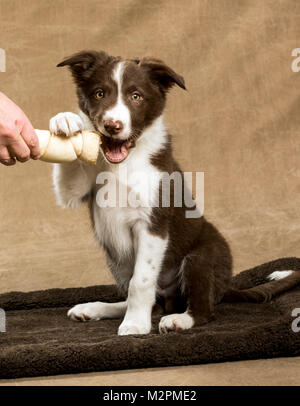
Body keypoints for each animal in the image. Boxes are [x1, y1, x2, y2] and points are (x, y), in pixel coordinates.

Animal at [50, 51, 296, 336]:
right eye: (100, 93)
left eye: (136, 96)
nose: (112, 125)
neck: (126, 161)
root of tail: (225, 288)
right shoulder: (77, 189)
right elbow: (69, 177)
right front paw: (66, 120)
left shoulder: (153, 224)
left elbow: (141, 282)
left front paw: (135, 325)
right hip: (116, 261)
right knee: (153, 304)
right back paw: (96, 308)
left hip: (201, 256)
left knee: (202, 308)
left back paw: (180, 319)